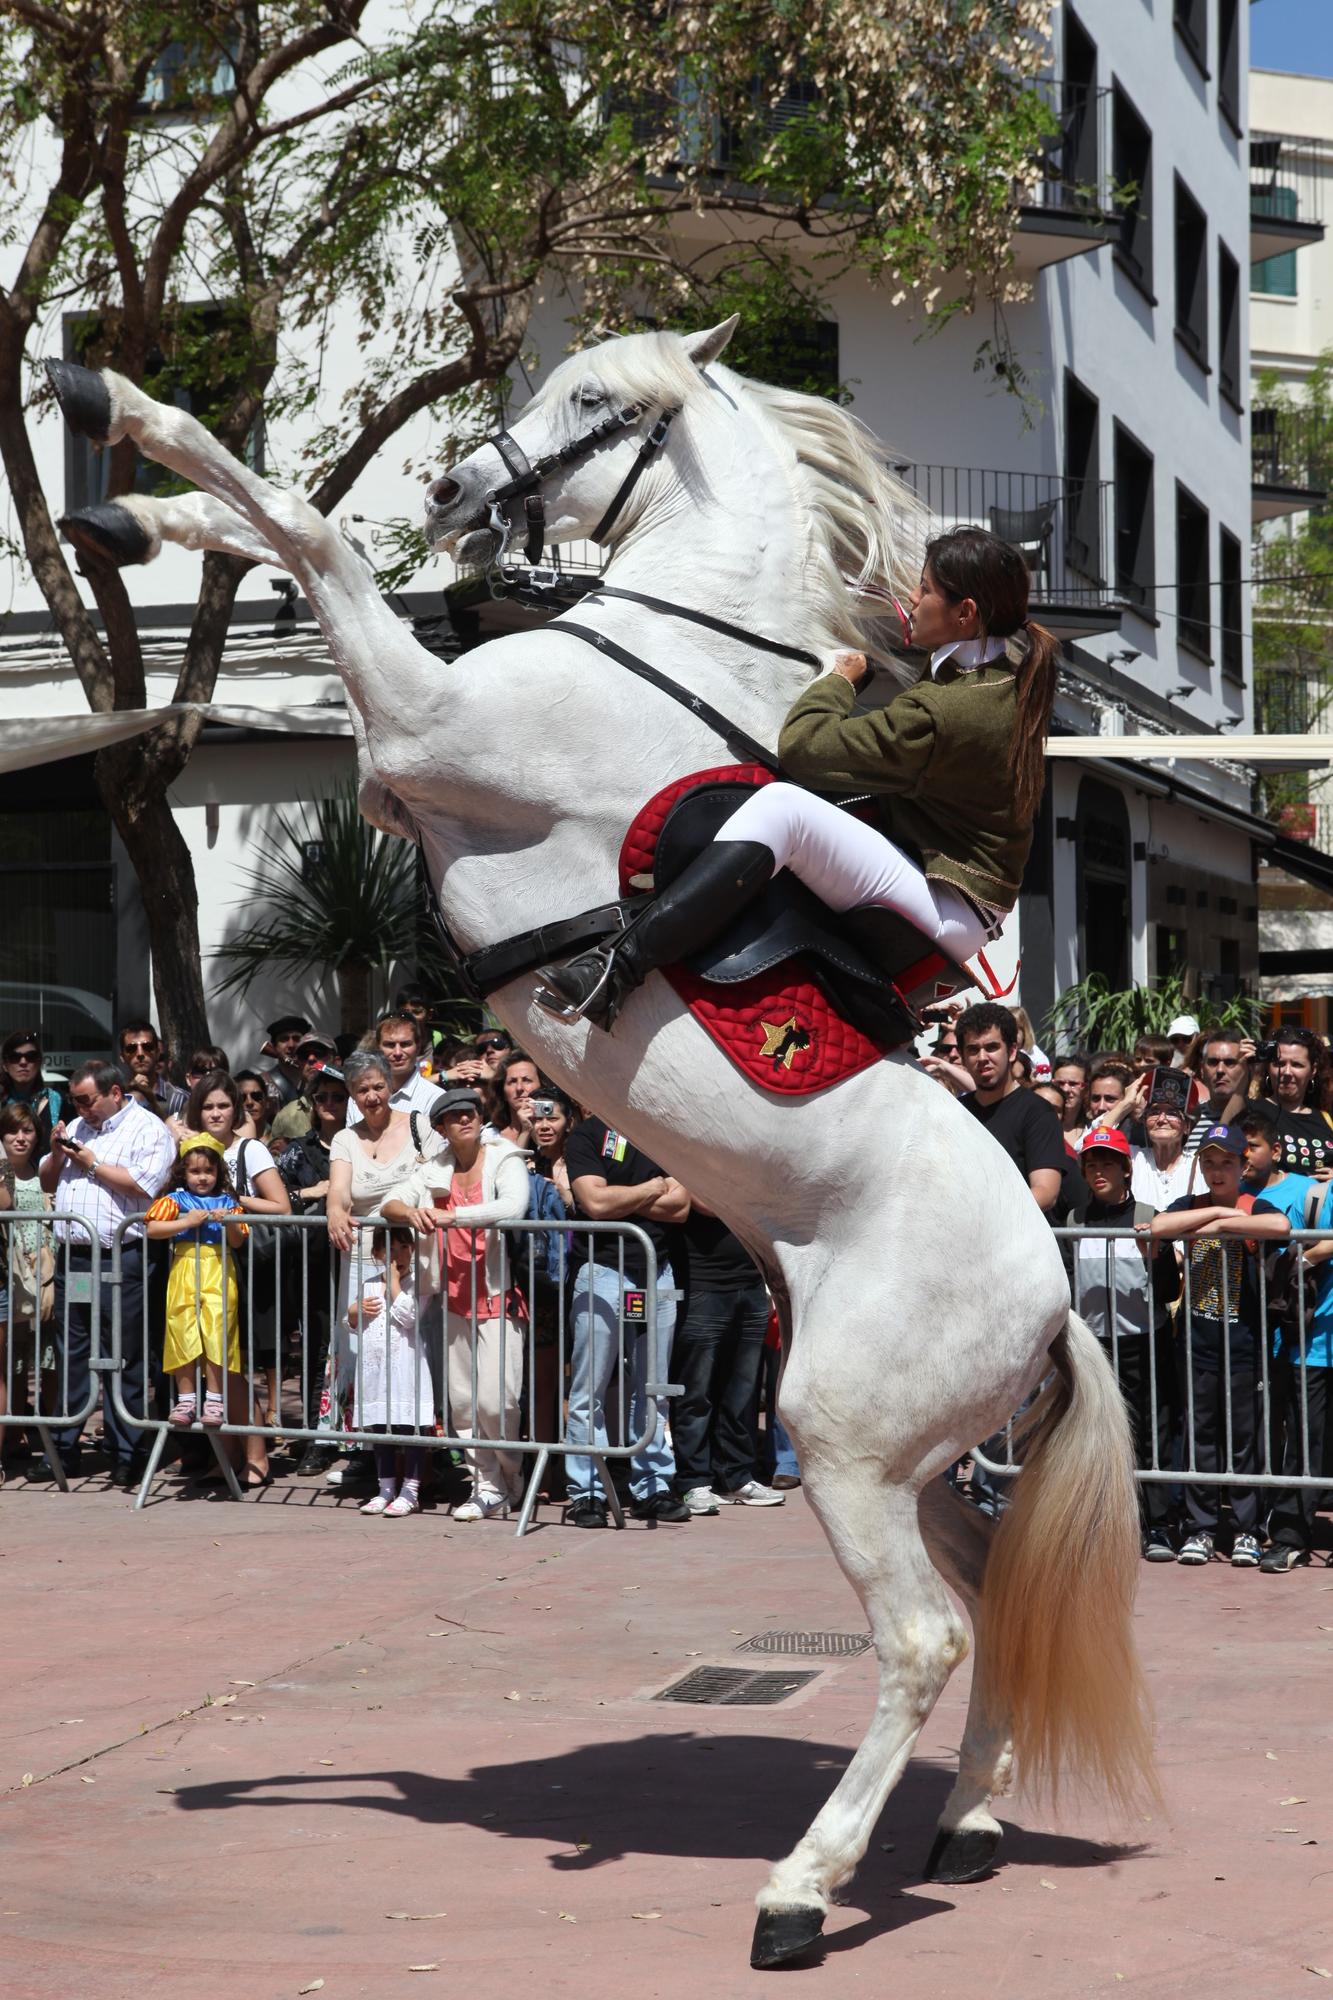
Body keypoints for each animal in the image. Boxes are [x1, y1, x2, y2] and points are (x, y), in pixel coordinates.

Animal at [49, 324, 1152, 1968]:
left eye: (595, 402)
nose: (455, 492)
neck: (671, 650)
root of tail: (1048, 1291)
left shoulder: (422, 731)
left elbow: (306, 528)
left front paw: (125, 420)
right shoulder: (395, 766)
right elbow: (281, 532)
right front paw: (130, 514)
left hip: (837, 1434)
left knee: (923, 1634)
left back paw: (802, 1890)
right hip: (910, 1459)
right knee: (988, 1589)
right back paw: (966, 1819)